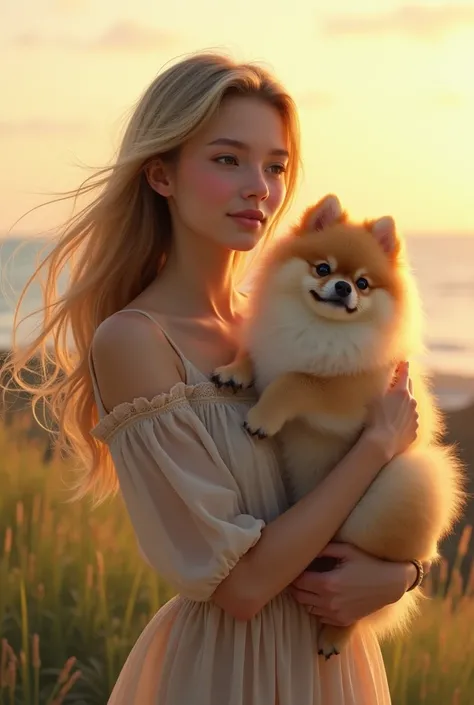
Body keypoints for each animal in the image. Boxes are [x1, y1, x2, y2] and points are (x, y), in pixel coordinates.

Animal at [213, 192, 464, 656]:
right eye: (323, 269)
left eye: (363, 284)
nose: (344, 287)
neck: (318, 329)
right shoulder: (268, 340)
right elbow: (256, 355)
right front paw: (234, 370)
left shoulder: (351, 399)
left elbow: (298, 379)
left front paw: (263, 415)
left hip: (401, 486)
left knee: (360, 607)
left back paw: (335, 635)